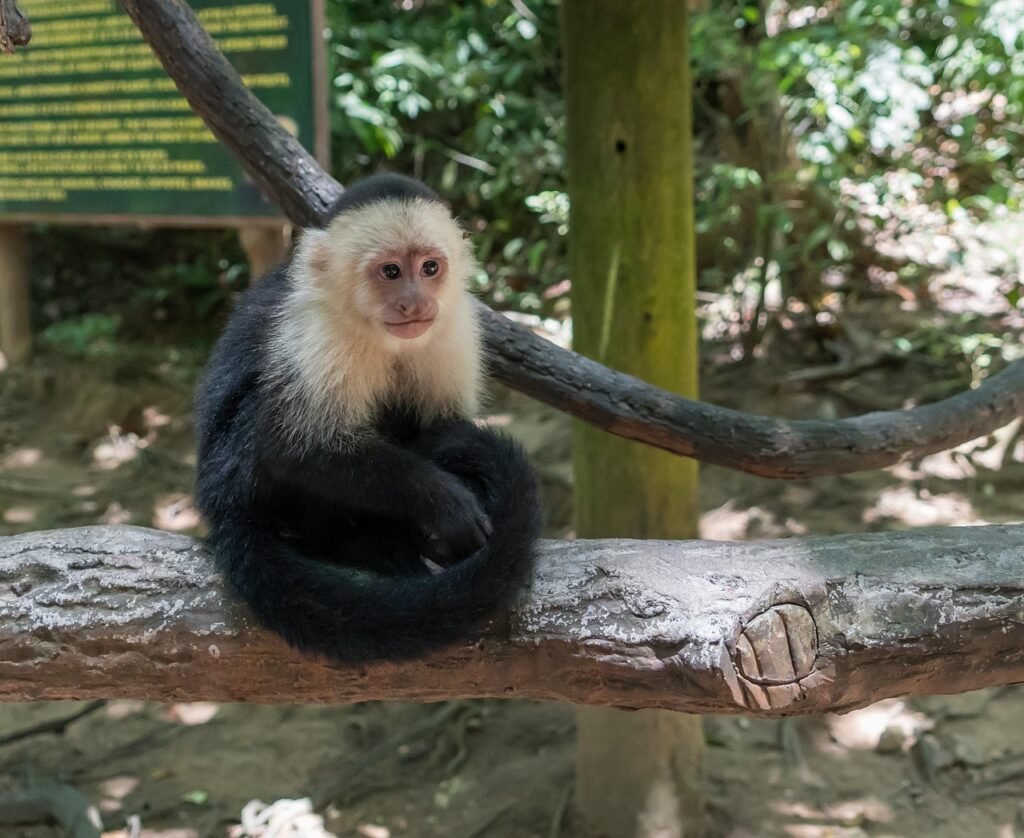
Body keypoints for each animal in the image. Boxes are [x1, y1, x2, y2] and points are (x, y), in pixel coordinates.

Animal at [193, 174, 542, 663]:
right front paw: (446, 503)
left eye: (430, 268)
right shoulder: (319, 332)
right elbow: (299, 448)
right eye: (391, 272)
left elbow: (442, 428)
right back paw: (356, 544)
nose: (415, 302)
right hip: (235, 483)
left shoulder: (454, 325)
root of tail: (219, 509)